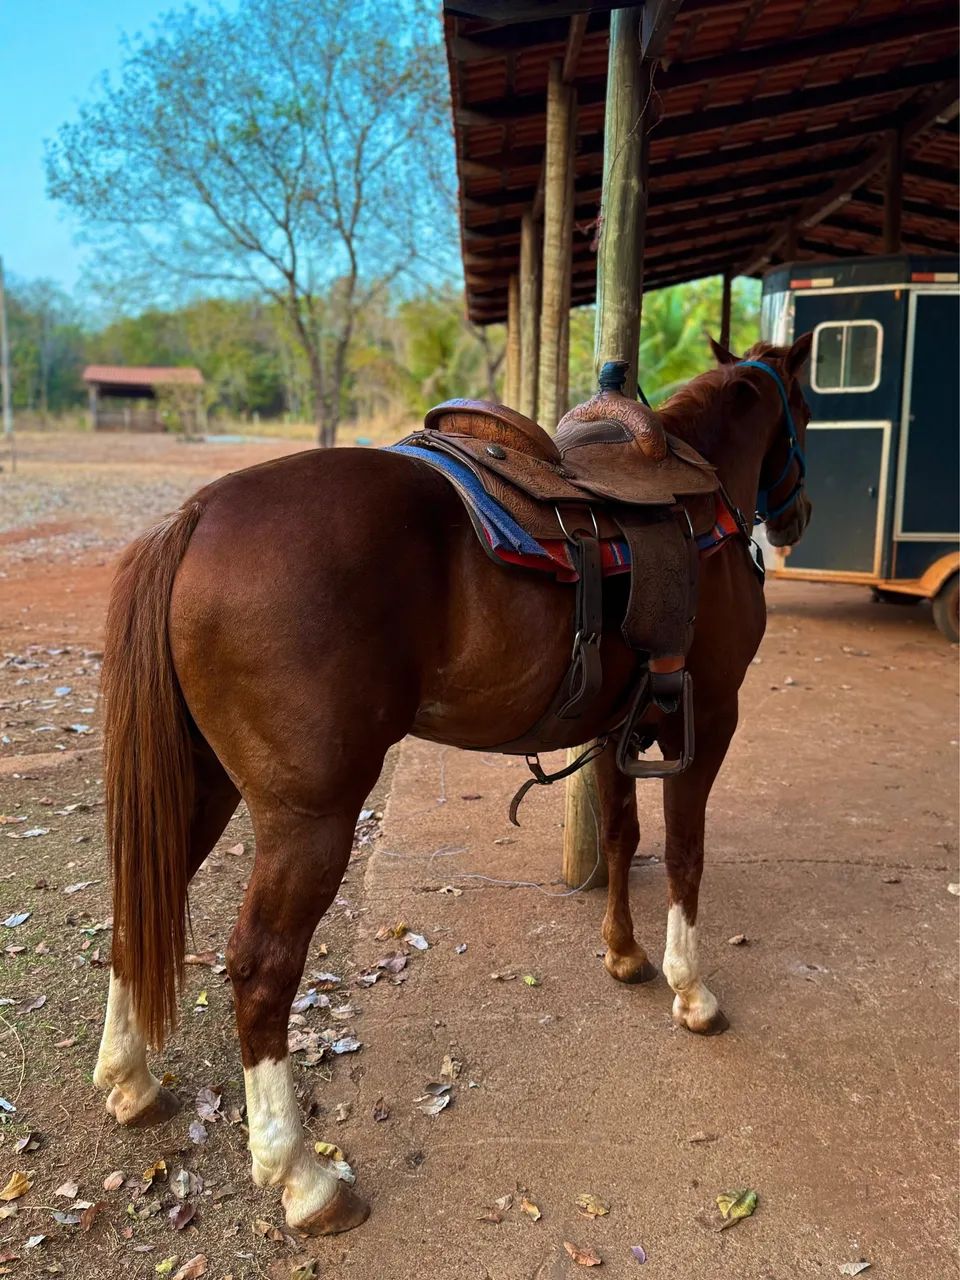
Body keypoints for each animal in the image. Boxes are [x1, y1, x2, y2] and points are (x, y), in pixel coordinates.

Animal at [93, 332, 812, 1234]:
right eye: (806, 409)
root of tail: (197, 517)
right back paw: (303, 1177)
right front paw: (693, 992)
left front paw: (626, 955)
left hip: (202, 787)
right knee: (260, 969)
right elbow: (685, 854)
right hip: (309, 817)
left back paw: (131, 1081)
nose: (797, 517)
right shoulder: (709, 717)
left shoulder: (621, 727)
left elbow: (622, 836)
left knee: (137, 904)